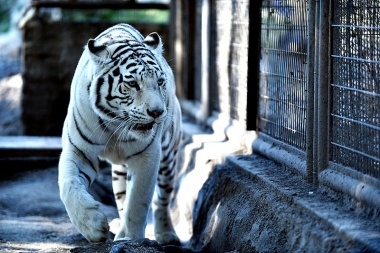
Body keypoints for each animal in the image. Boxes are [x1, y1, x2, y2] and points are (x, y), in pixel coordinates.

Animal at [59, 24, 183, 245]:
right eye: (133, 83)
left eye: (160, 81)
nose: (158, 112)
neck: (114, 124)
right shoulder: (78, 151)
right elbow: (69, 185)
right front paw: (93, 226)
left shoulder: (147, 155)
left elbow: (138, 202)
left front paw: (131, 238)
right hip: (118, 173)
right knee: (122, 197)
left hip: (169, 158)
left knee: (162, 199)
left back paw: (166, 234)